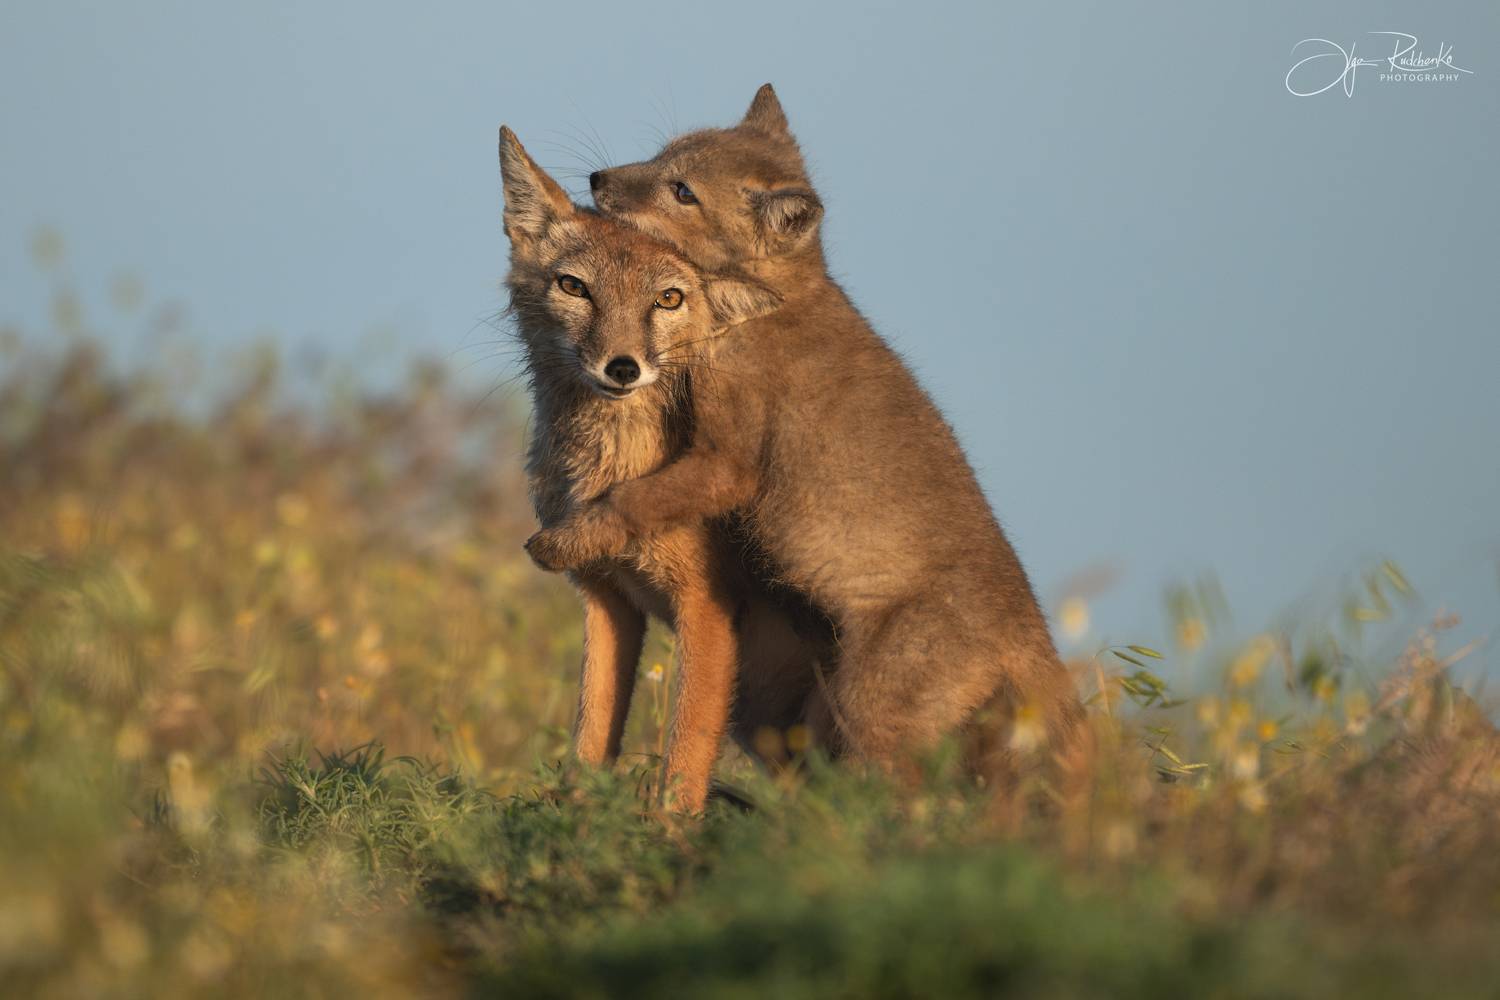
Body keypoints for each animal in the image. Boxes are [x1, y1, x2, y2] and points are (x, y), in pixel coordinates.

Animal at [498, 125, 834, 812]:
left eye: (668, 299)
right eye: (575, 288)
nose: (623, 367)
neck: (608, 472)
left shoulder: (706, 610)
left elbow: (682, 761)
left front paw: (666, 830)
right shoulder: (607, 600)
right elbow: (589, 739)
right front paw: (574, 821)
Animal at [525, 86, 1090, 792]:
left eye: (682, 190)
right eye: (659, 156)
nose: (598, 178)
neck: (768, 305)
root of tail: (1034, 628)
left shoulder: (726, 464)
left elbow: (628, 501)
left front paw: (560, 542)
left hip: (866, 715)